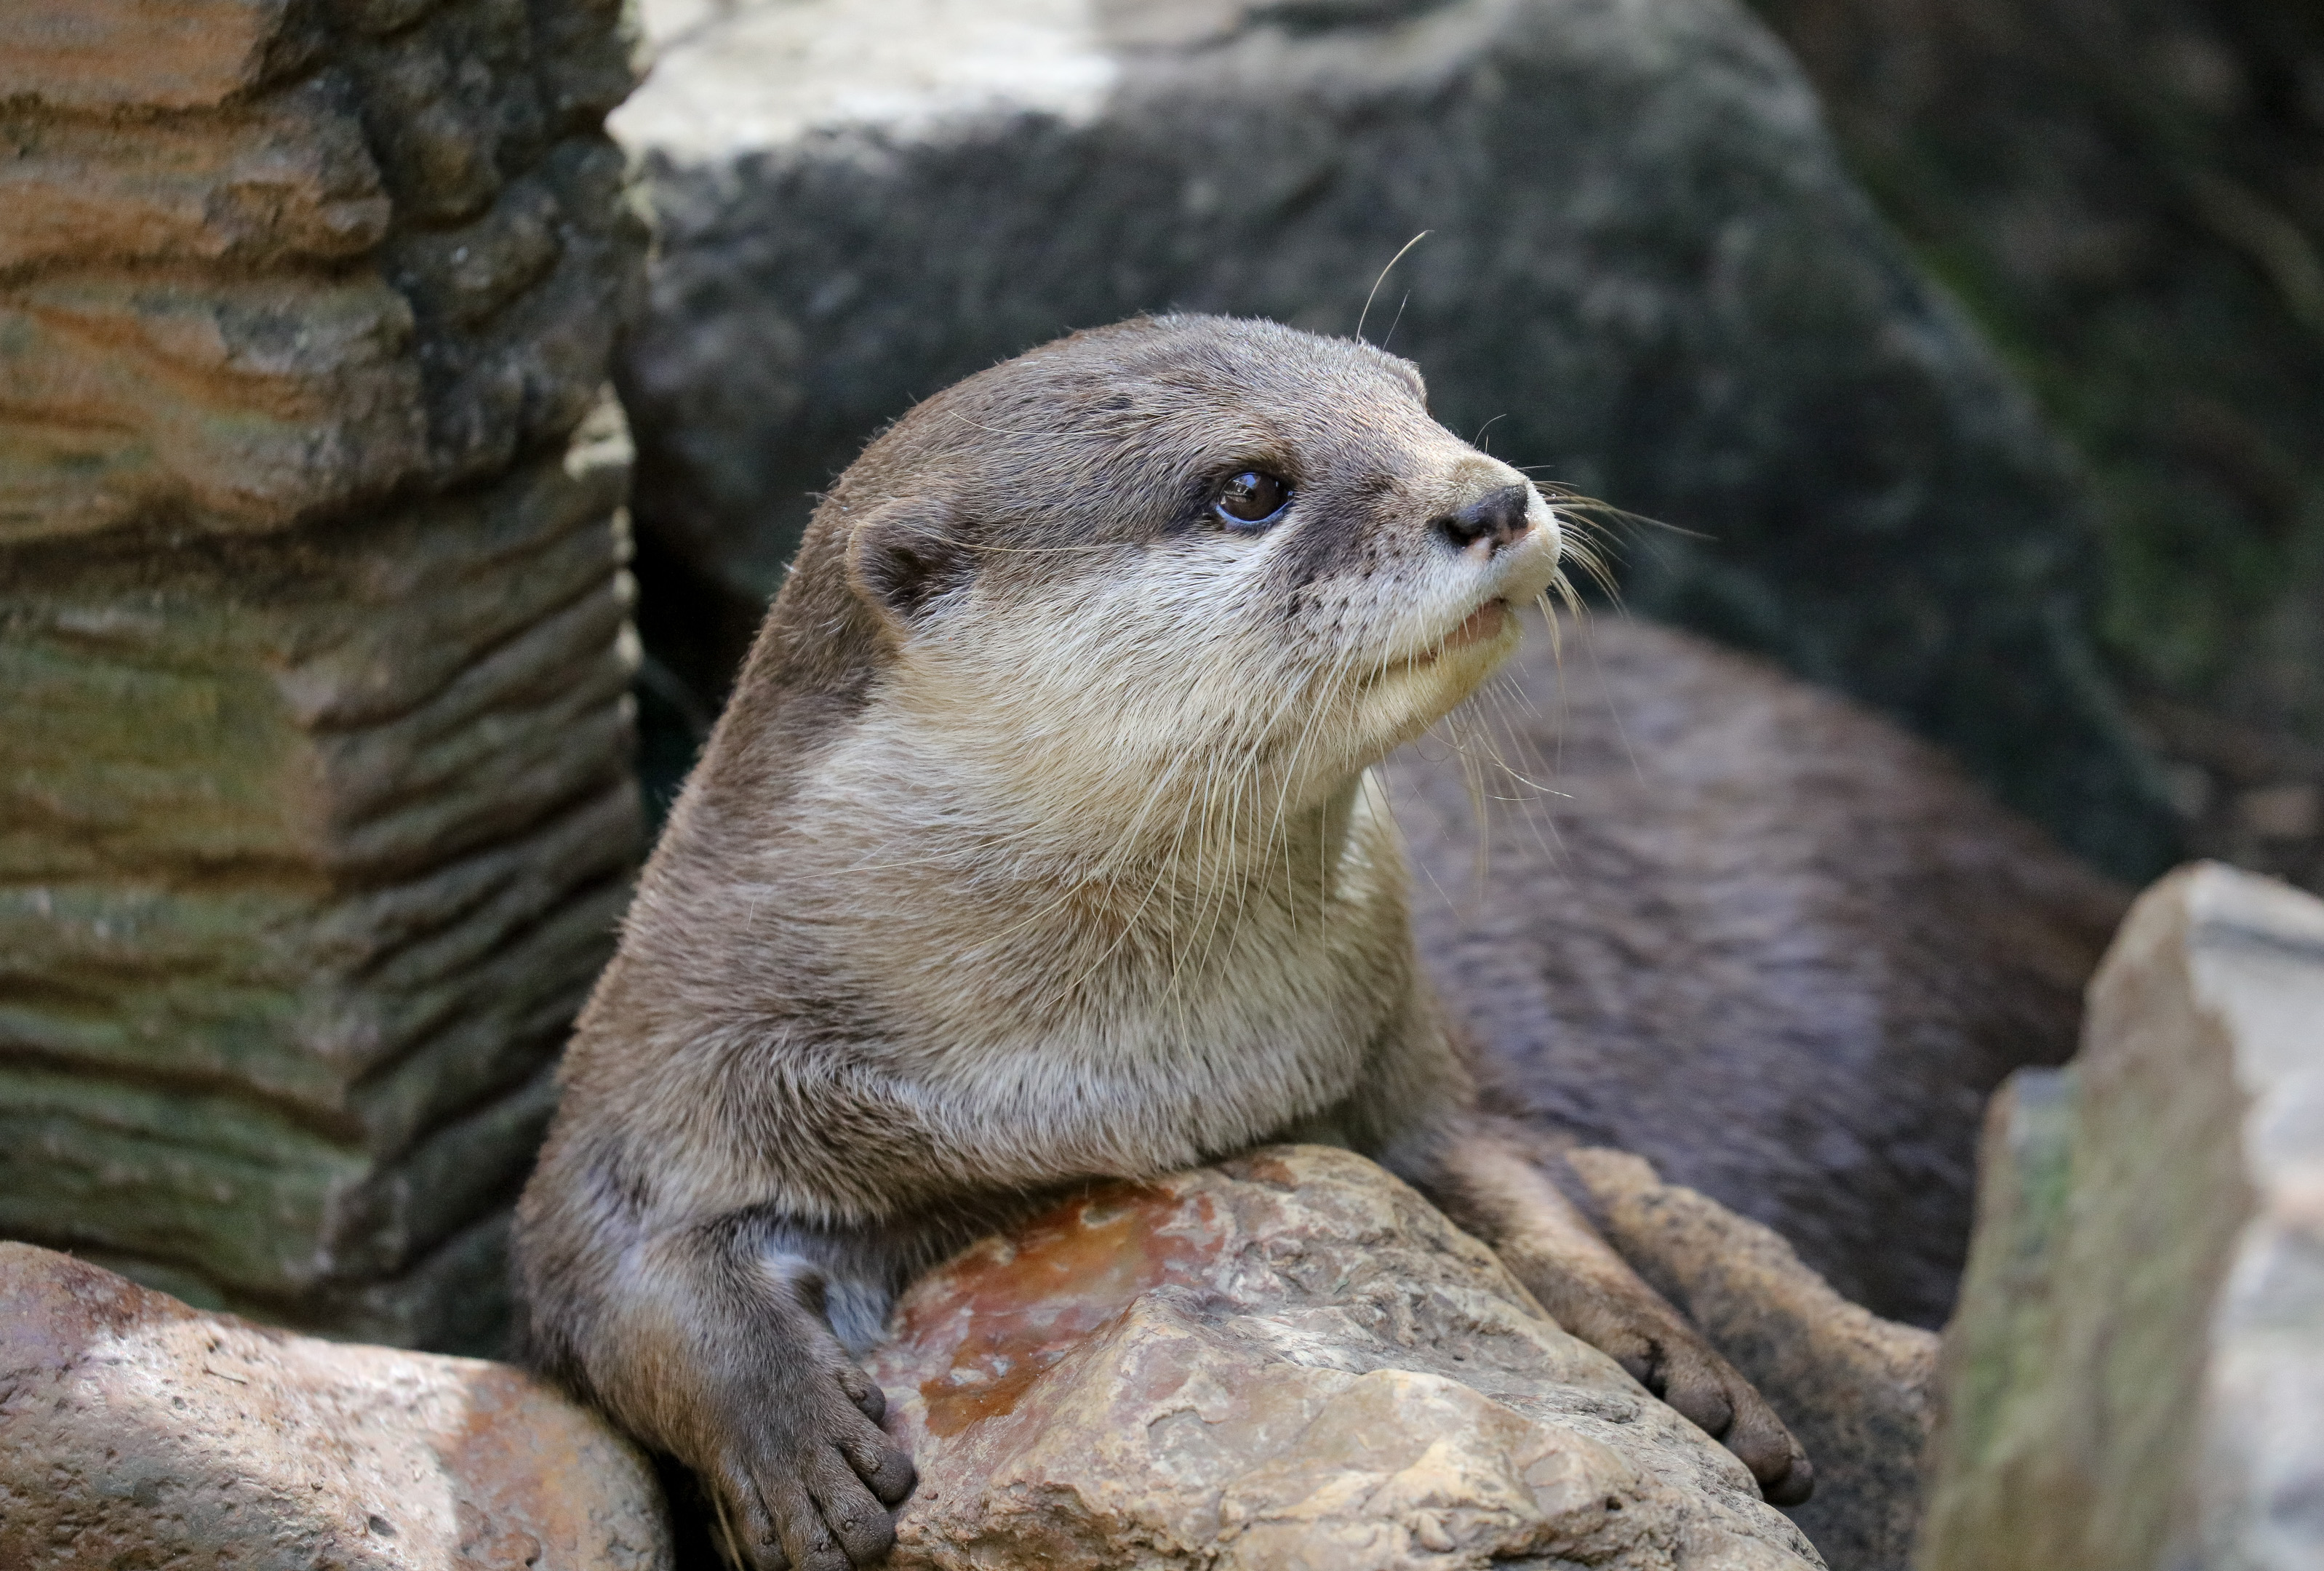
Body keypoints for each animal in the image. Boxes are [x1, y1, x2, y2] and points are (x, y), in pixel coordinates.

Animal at [513, 314, 1812, 1571]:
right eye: (1247, 487)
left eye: (1414, 399)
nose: (1489, 496)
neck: (1124, 1084)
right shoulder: (674, 1039)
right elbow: (593, 1265)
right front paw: (790, 1440)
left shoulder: (1403, 1044)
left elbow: (1504, 1165)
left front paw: (1668, 1355)